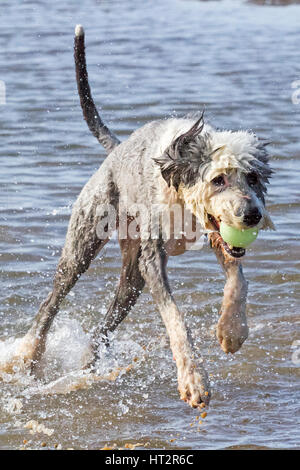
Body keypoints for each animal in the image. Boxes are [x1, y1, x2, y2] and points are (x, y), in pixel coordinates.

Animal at [7, 24, 274, 408]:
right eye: (218, 179)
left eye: (252, 177)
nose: (252, 215)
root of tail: (116, 150)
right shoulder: (152, 259)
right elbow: (175, 316)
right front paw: (194, 380)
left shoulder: (216, 236)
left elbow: (239, 280)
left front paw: (231, 331)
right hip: (84, 243)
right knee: (51, 301)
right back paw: (28, 356)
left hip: (131, 281)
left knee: (105, 324)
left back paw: (87, 366)